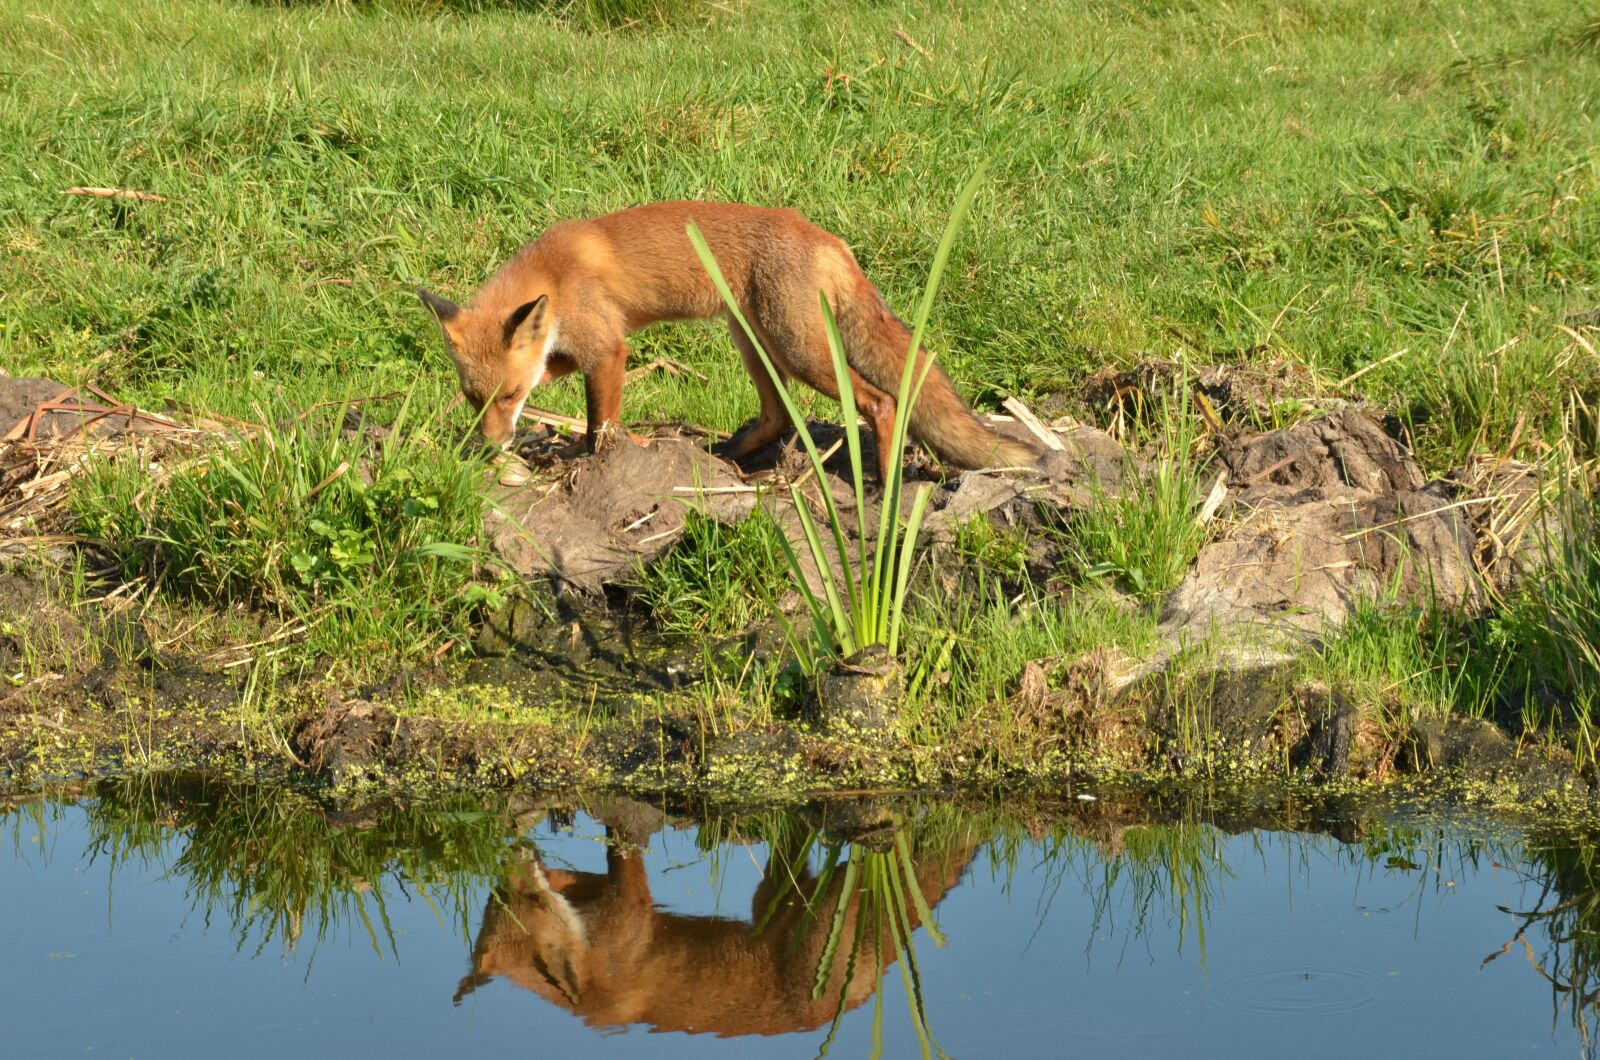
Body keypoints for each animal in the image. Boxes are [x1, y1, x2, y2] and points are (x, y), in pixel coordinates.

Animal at [417, 201, 1041, 481]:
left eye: (506, 396)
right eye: (474, 400)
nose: (489, 447)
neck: (554, 271)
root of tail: (831, 240)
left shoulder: (608, 347)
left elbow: (602, 422)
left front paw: (597, 458)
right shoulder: (573, 348)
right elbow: (565, 385)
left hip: (800, 349)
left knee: (882, 401)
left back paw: (884, 486)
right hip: (753, 341)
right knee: (780, 416)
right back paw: (726, 458)